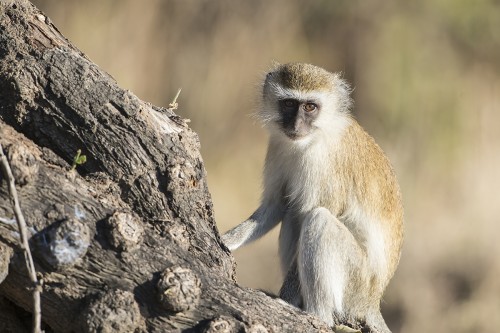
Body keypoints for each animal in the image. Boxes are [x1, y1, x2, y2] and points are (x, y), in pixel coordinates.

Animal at [223, 63, 402, 332]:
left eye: (310, 107)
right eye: (288, 104)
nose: (296, 125)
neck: (312, 139)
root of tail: (372, 301)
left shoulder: (323, 163)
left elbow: (316, 211)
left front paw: (284, 299)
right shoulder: (277, 145)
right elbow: (275, 206)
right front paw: (225, 240)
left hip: (357, 282)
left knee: (318, 219)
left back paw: (316, 314)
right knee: (293, 215)